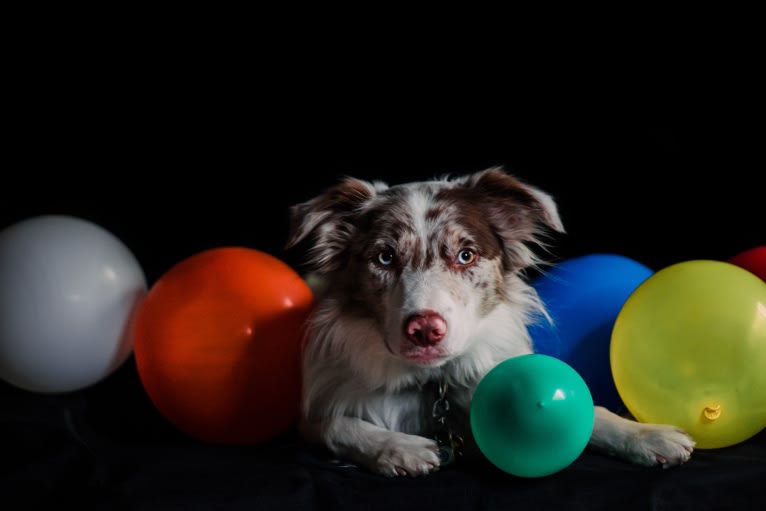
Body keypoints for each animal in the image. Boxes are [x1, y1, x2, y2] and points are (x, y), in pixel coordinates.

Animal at [286, 166, 696, 478]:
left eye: (466, 255)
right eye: (385, 257)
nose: (425, 329)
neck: (433, 384)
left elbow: (593, 412)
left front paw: (646, 435)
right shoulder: (311, 416)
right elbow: (338, 425)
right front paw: (398, 448)